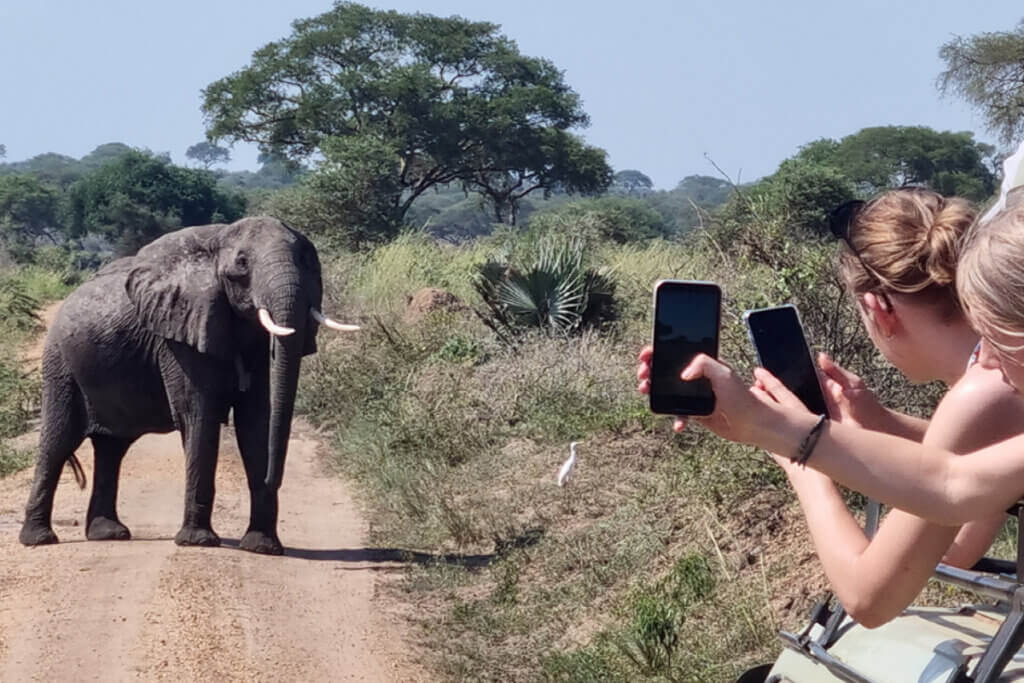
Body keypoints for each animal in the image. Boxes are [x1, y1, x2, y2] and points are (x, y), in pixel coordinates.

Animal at [18, 216, 357, 555]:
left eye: (305, 259)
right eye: (242, 263)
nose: (272, 480)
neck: (215, 245)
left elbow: (255, 422)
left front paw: (262, 547)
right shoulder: (178, 336)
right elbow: (198, 416)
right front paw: (199, 542)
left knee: (111, 448)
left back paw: (109, 533)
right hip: (61, 367)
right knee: (58, 441)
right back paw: (39, 539)